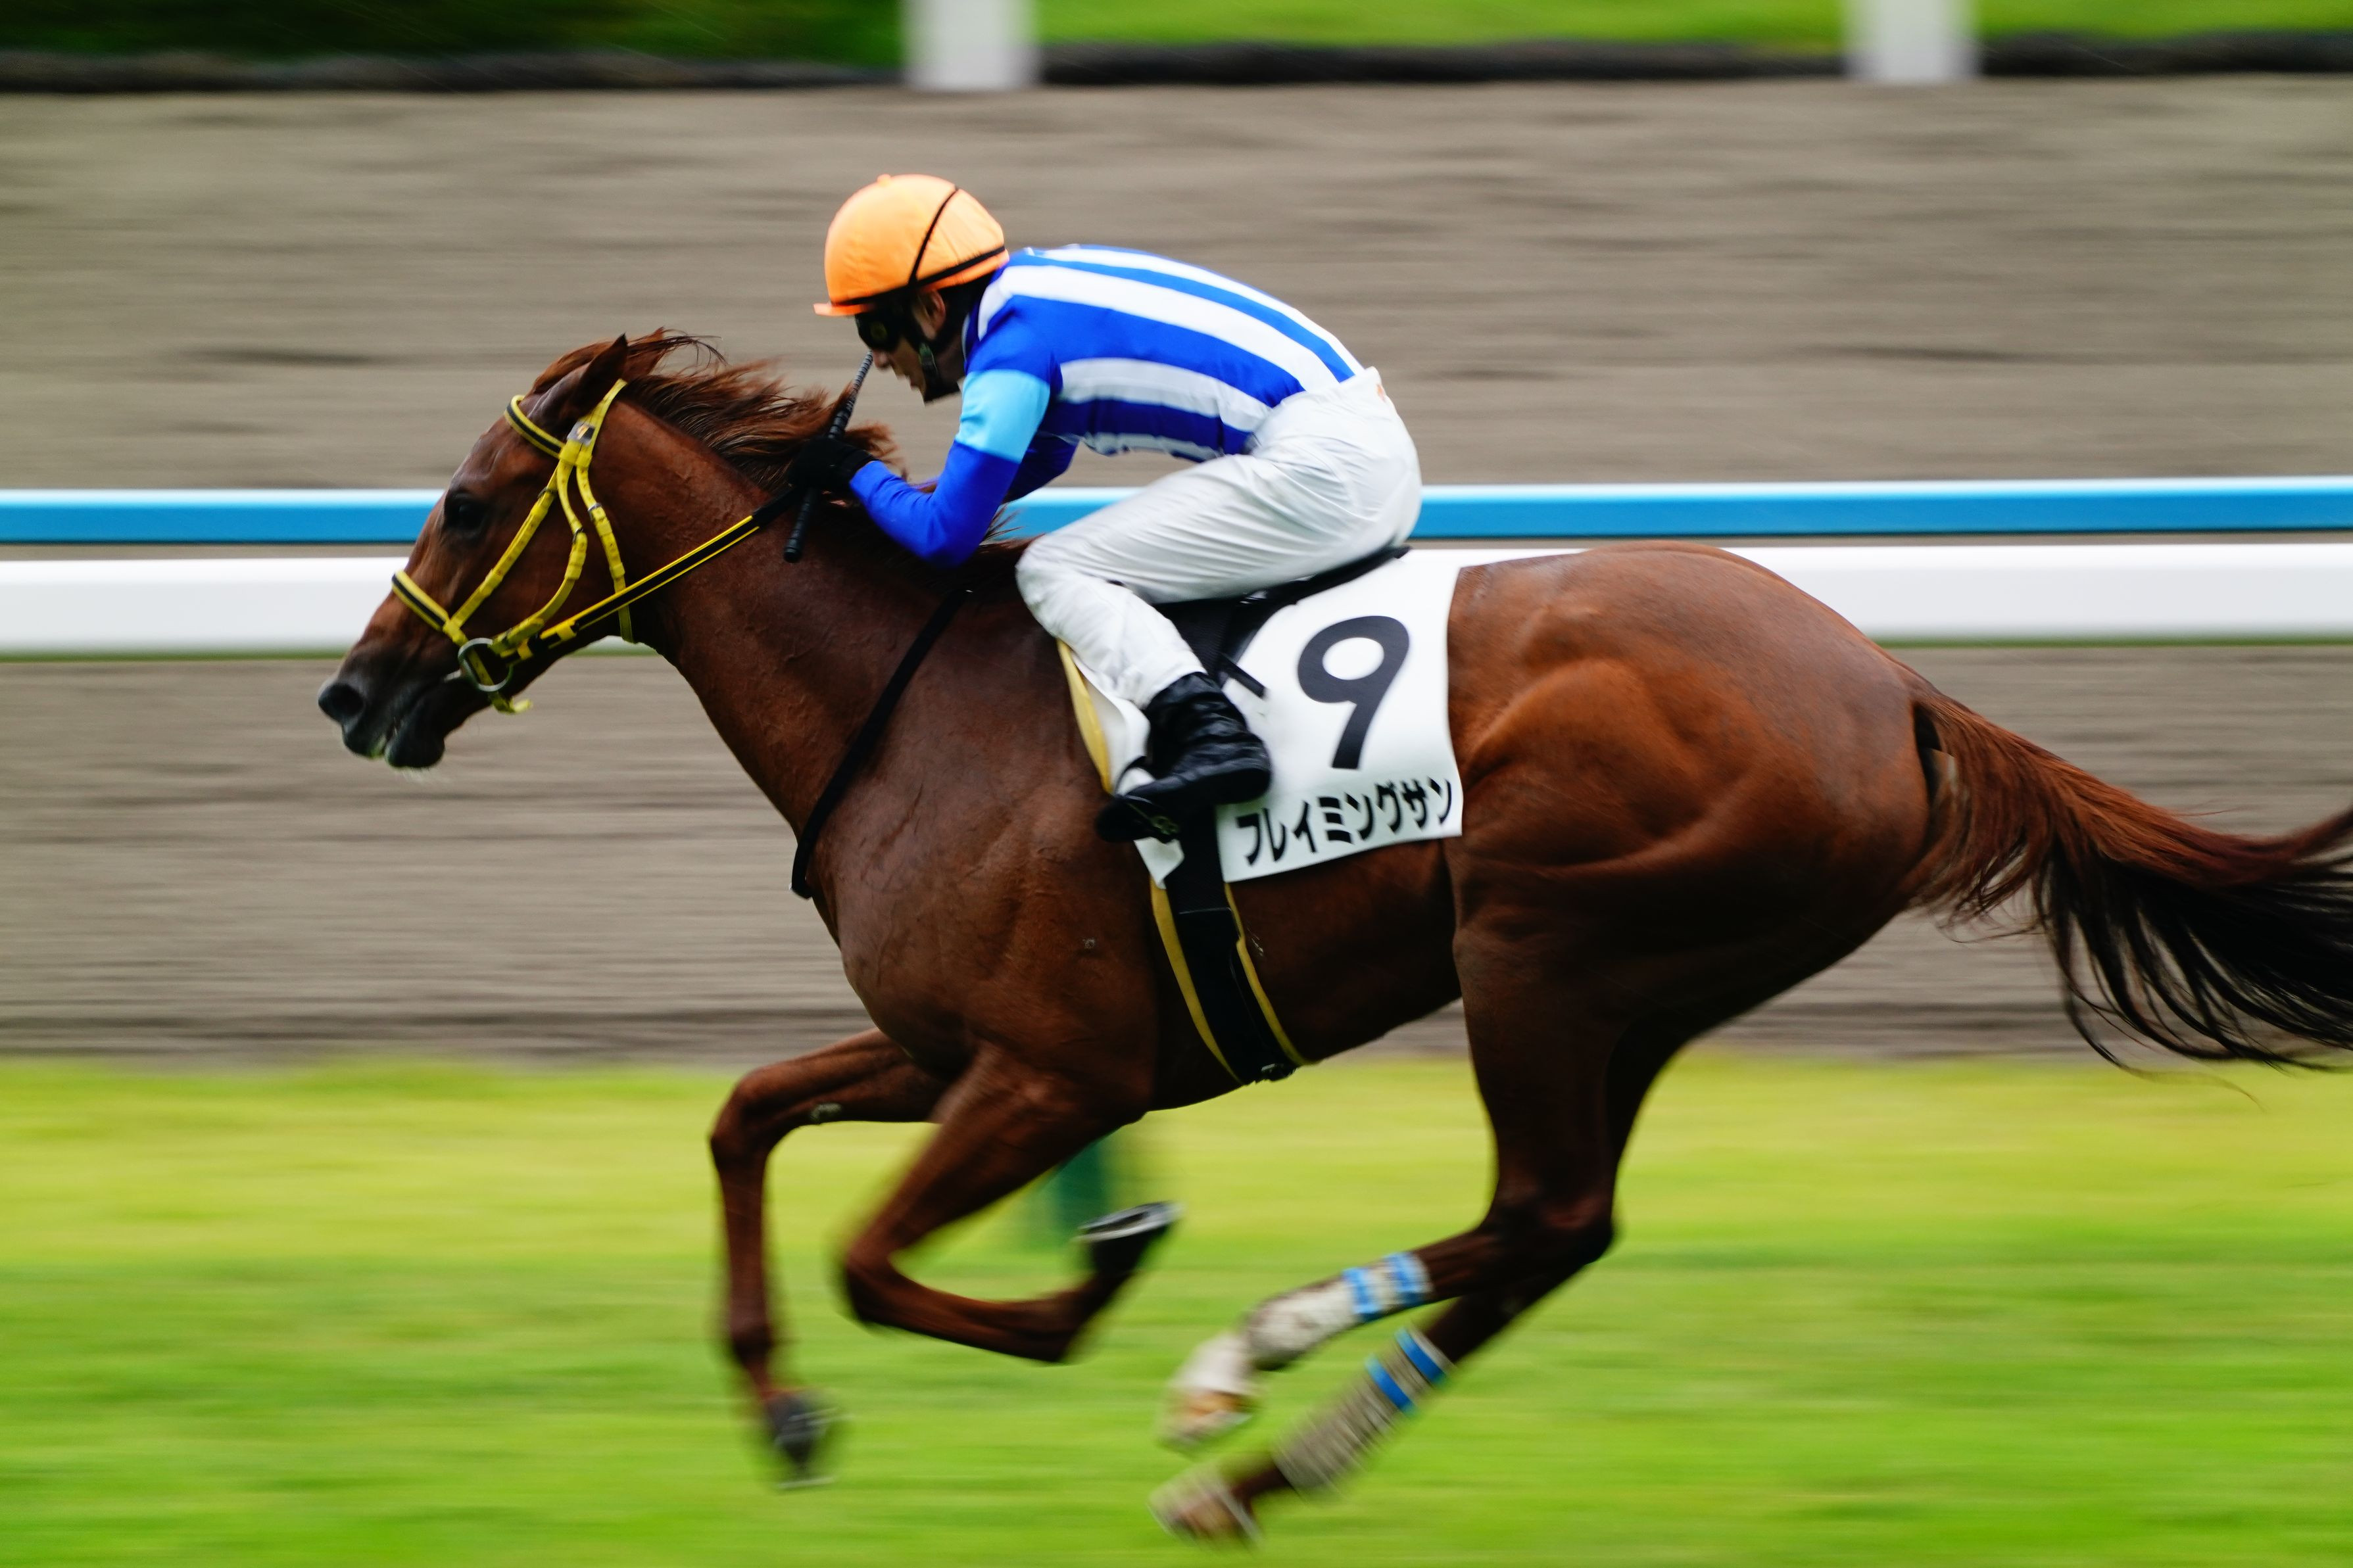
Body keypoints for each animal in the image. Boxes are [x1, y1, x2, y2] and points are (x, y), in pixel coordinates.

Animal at [319, 332, 2353, 1541]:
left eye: (472, 503)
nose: (357, 691)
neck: (912, 710)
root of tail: (1889, 685)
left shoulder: (1057, 1073)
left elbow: (879, 1258)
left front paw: (1099, 1279)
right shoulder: (953, 1046)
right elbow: (746, 1117)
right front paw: (787, 1409)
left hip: (1547, 949)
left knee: (1540, 1213)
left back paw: (1241, 1368)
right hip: (1639, 984)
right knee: (1553, 1233)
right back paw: (1261, 1457)